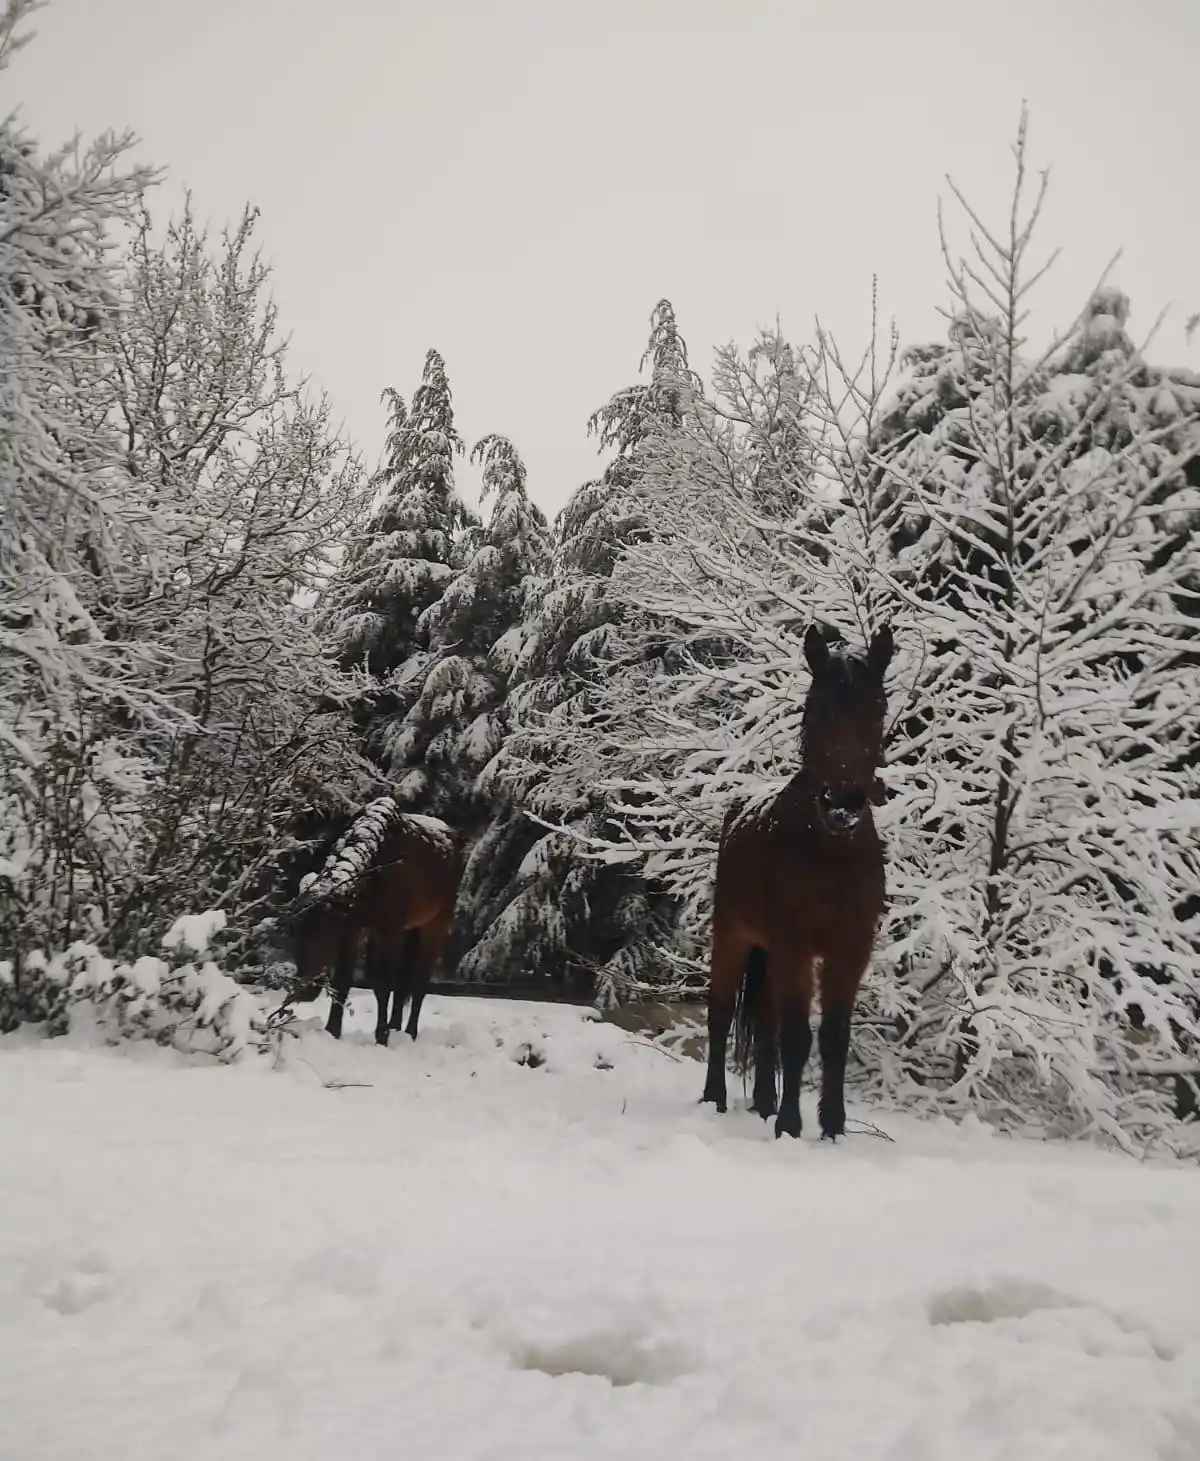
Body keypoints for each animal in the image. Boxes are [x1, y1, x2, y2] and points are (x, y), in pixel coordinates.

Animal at [287, 800, 464, 1051]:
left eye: (331, 931)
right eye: (296, 930)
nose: (304, 989)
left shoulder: (388, 929)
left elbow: (382, 984)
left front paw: (382, 1036)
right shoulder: (354, 929)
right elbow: (343, 981)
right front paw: (332, 1031)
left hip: (436, 924)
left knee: (419, 981)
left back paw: (409, 1032)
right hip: (411, 930)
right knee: (403, 983)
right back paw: (397, 1027)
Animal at [698, 622, 894, 1133]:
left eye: (878, 707)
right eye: (816, 708)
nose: (843, 805)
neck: (831, 854)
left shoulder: (850, 951)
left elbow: (834, 1038)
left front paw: (833, 1126)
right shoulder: (795, 947)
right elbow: (796, 1037)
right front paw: (790, 1124)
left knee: (764, 1023)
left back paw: (765, 1102)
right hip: (734, 934)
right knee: (720, 1012)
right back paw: (715, 1098)